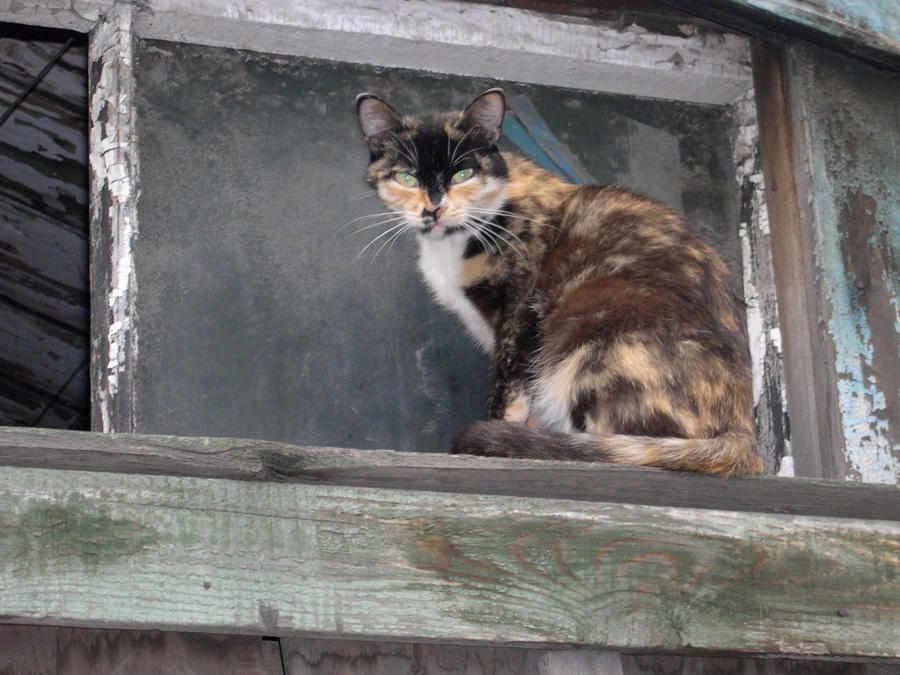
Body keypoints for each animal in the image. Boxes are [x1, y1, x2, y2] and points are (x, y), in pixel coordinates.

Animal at [356, 90, 764, 476]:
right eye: (406, 177)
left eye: (463, 174)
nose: (434, 208)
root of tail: (744, 435)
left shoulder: (519, 312)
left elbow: (508, 389)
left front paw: (501, 433)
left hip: (589, 338)